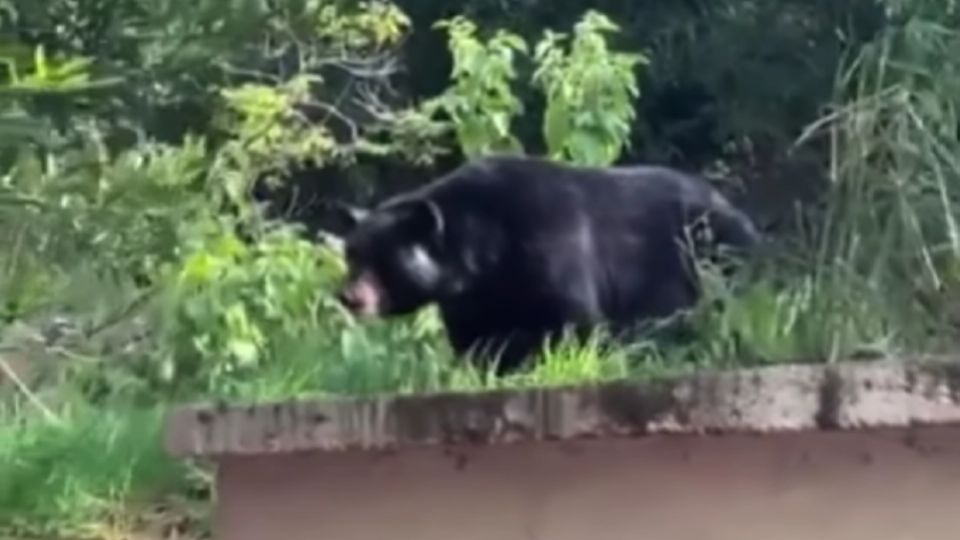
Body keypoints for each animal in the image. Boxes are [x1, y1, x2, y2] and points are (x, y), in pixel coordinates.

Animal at [326, 154, 760, 374]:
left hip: (710, 251)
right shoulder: (470, 298)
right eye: (351, 254)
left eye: (380, 257)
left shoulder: (550, 243)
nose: (348, 297)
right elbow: (472, 335)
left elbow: (573, 319)